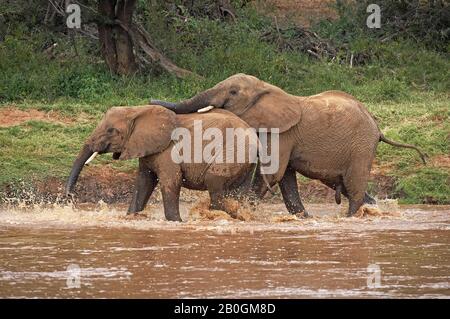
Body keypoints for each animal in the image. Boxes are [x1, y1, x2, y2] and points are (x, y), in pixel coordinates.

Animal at [64, 106, 258, 221]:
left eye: (112, 130)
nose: (68, 199)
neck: (137, 110)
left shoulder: (168, 151)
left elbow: (170, 181)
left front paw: (176, 222)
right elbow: (144, 182)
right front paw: (131, 217)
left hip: (234, 152)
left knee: (214, 183)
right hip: (246, 162)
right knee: (239, 191)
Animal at [150, 74, 426, 216]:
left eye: (233, 93)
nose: (152, 100)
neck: (267, 88)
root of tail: (378, 127)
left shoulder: (282, 133)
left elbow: (273, 173)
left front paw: (245, 210)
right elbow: (286, 178)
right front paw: (302, 218)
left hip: (362, 146)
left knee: (354, 186)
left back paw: (352, 217)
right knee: (346, 185)